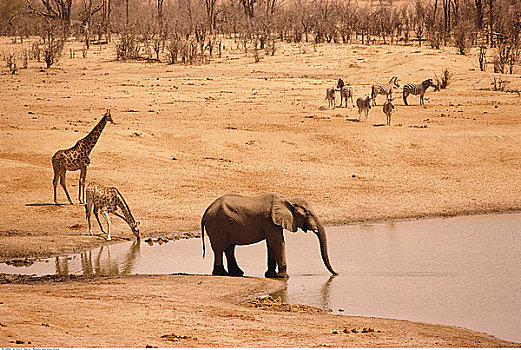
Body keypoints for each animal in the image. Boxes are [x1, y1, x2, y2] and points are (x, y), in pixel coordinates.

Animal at [199, 193, 338, 278]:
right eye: (308, 213)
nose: (336, 273)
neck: (287, 199)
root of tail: (205, 212)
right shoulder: (269, 220)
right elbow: (278, 242)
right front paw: (283, 276)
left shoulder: (272, 222)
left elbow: (271, 244)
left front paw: (271, 275)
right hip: (216, 224)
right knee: (219, 249)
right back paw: (221, 273)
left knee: (229, 248)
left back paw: (236, 273)